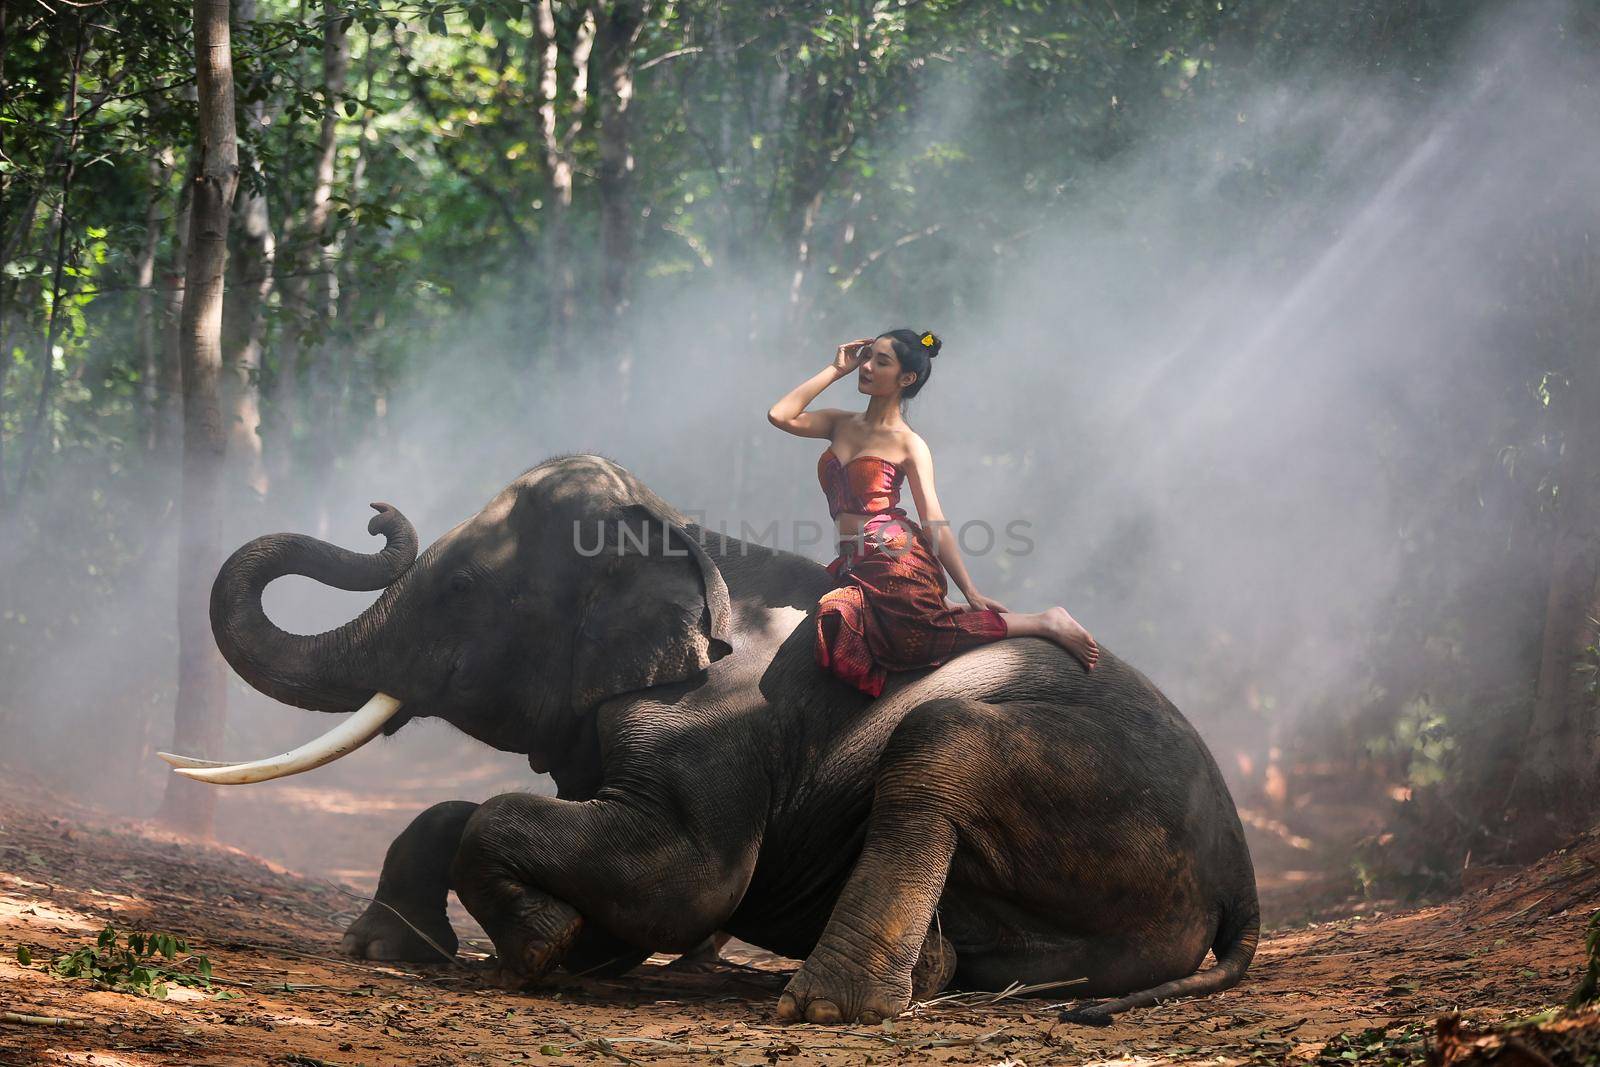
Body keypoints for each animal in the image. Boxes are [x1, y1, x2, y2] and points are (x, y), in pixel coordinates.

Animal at [165, 451, 1260, 1023]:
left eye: (465, 586)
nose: (375, 512)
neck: (686, 534)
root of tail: (1238, 872)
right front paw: (395, 946)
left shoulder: (715, 732)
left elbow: (681, 878)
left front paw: (547, 945)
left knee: (938, 745)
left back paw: (830, 1005)